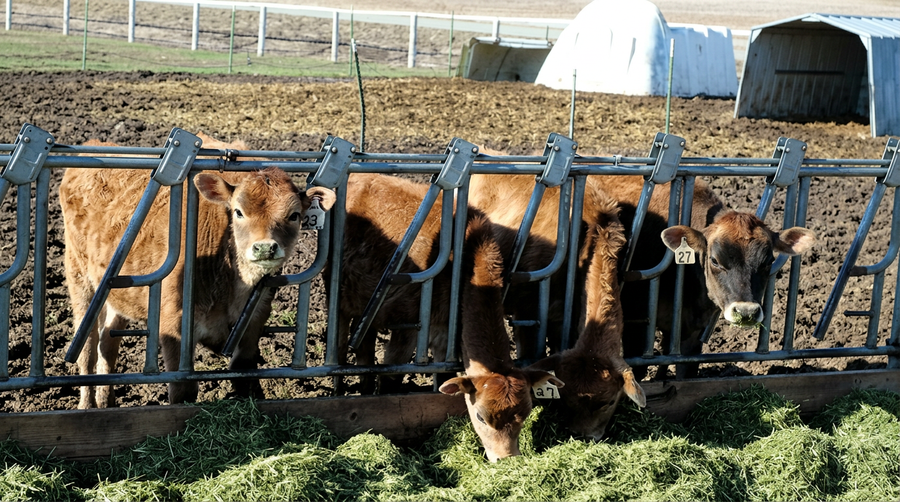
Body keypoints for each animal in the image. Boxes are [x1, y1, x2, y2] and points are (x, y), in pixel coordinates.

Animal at [61, 135, 336, 408]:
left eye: (294, 215)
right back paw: (87, 405)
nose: (265, 248)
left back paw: (106, 400)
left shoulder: (253, 325)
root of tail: (93, 145)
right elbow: (183, 390)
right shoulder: (174, 329)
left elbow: (243, 378)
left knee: (108, 341)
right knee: (87, 348)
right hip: (80, 278)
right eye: (238, 212)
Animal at [332, 172, 562, 461]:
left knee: (364, 347)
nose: (506, 459)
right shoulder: (409, 326)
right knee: (341, 349)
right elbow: (390, 379)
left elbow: (443, 377)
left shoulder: (445, 332)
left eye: (527, 413)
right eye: (481, 417)